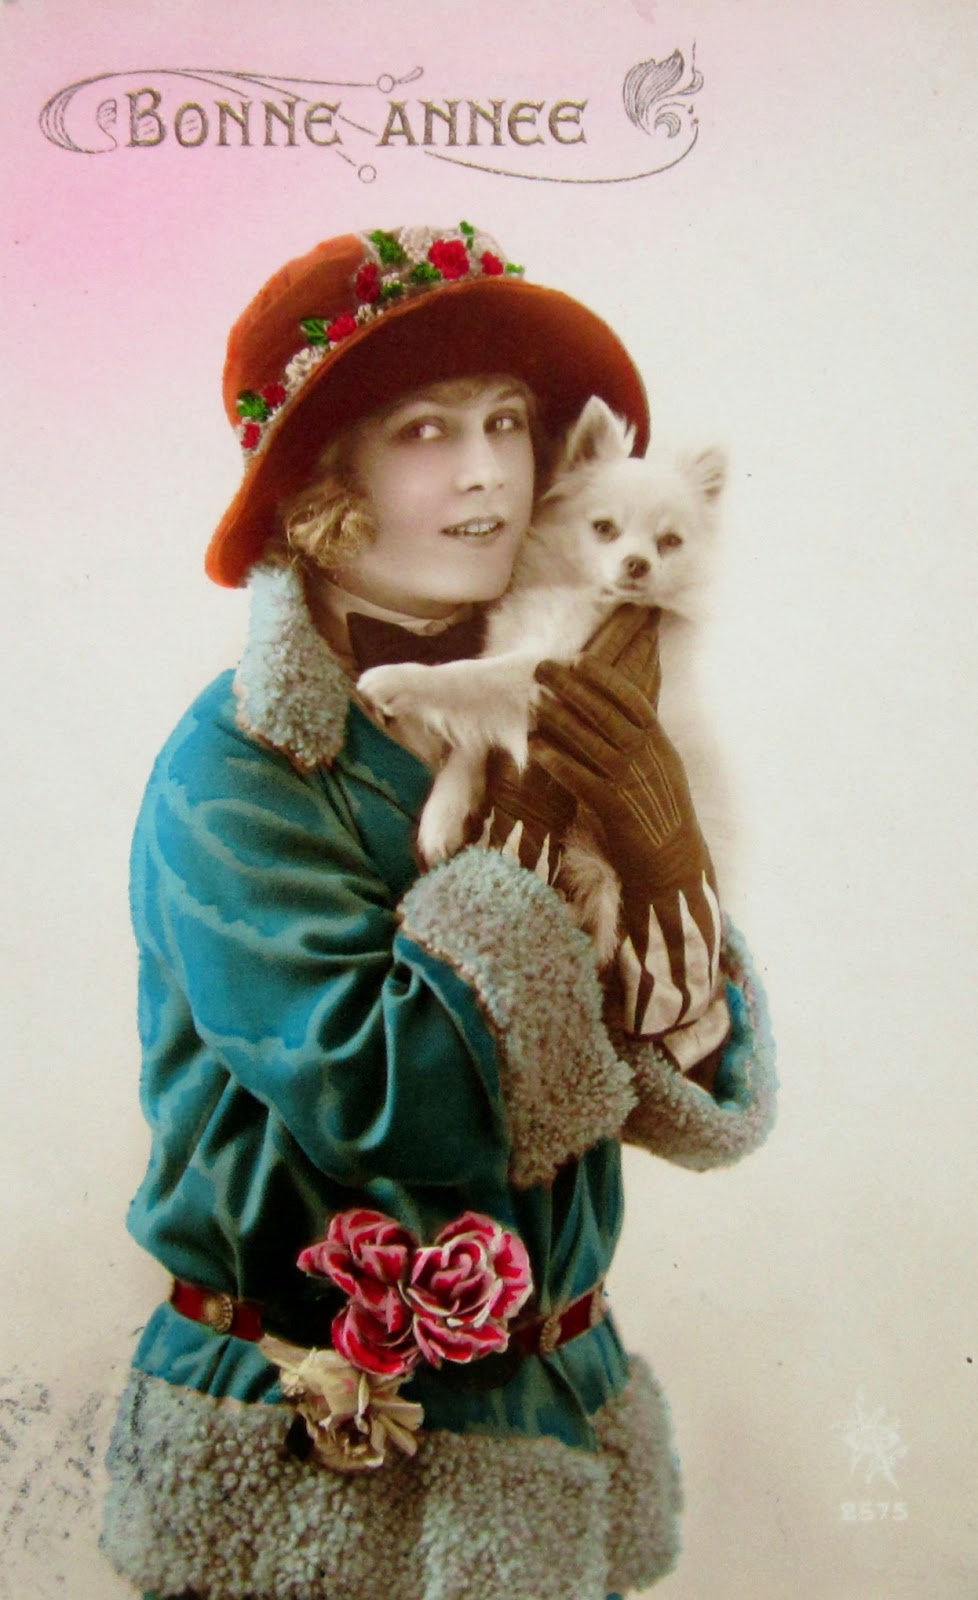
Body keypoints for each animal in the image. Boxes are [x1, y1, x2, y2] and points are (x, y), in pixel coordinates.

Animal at [358, 395, 727, 963]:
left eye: (669, 542)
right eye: (604, 529)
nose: (638, 563)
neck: (573, 593)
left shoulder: (544, 668)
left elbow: (463, 678)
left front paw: (398, 680)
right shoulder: (514, 653)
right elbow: (470, 743)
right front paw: (445, 811)